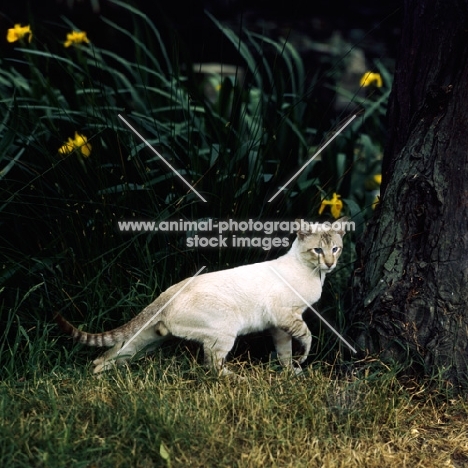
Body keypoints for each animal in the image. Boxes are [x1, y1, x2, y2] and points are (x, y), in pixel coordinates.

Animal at [55, 218, 348, 374]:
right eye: (317, 251)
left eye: (335, 248)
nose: (331, 263)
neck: (313, 275)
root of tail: (171, 289)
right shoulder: (287, 315)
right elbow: (307, 337)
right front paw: (302, 361)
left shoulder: (279, 325)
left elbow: (284, 352)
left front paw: (290, 373)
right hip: (226, 329)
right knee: (211, 366)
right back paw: (236, 378)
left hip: (147, 341)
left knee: (109, 354)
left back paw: (95, 374)